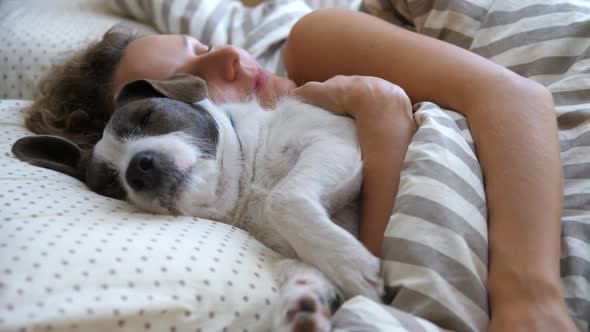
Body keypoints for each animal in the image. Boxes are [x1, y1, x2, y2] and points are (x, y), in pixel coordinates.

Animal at [13, 75, 386, 332]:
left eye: (147, 116)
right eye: (109, 184)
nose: (138, 169)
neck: (247, 183)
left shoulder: (333, 141)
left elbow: (282, 199)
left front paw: (351, 263)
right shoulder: (286, 247)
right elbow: (302, 267)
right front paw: (304, 304)